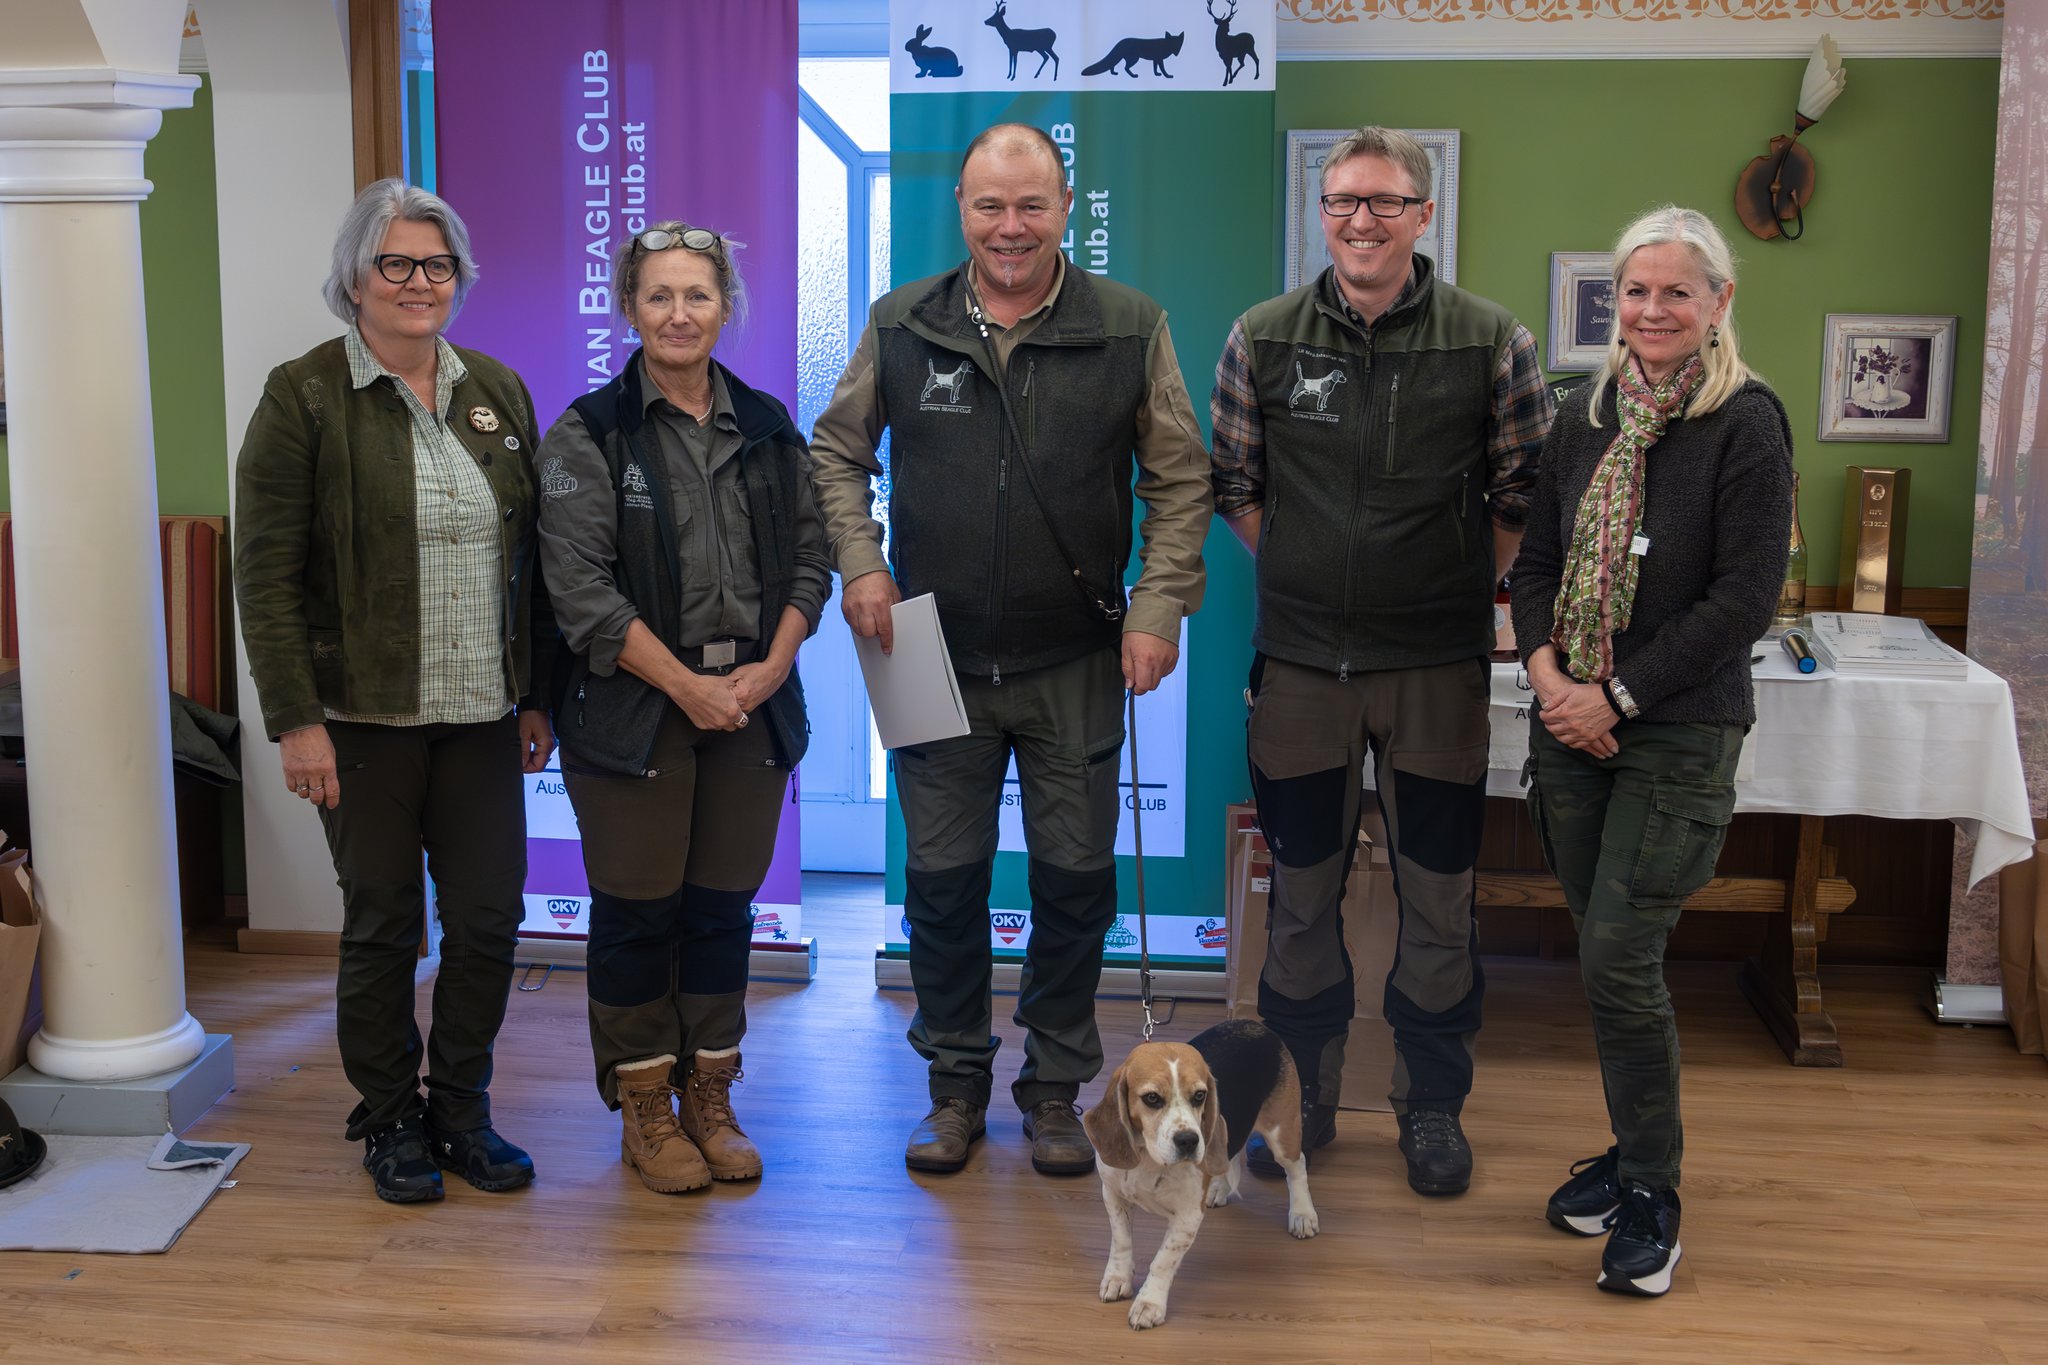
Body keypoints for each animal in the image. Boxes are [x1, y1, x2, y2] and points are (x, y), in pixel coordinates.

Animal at [1083, 1019, 1318, 1330]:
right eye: (1152, 1098)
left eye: (1199, 1096)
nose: (1189, 1141)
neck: (1150, 1159)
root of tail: (1255, 1024)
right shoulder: (1112, 1194)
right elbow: (1121, 1241)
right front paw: (1118, 1278)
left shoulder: (1188, 1217)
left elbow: (1162, 1261)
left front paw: (1149, 1304)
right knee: (1229, 1155)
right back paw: (1218, 1189)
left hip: (1282, 1132)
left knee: (1296, 1167)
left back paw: (1303, 1214)